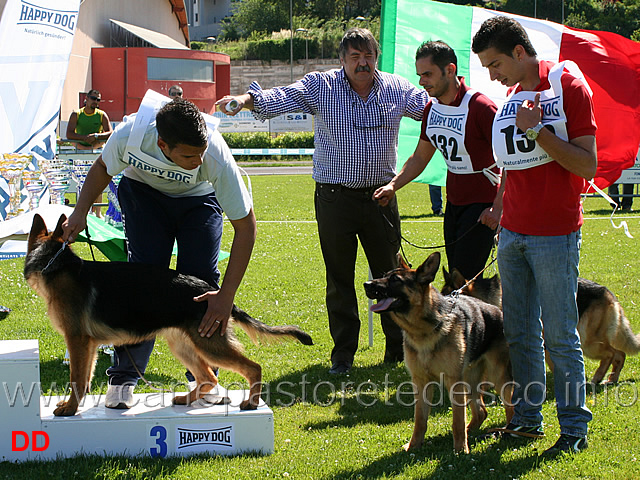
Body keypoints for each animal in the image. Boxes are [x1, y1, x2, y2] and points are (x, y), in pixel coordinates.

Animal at [23, 215, 314, 416]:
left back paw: (251, 403)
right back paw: (187, 399)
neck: (55, 263)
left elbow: (77, 379)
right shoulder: (89, 346)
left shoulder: (78, 341)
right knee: (209, 377)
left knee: (252, 368)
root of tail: (214, 293)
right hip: (183, 345)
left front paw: (70, 409)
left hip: (209, 345)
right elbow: (84, 379)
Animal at [362, 251, 512, 454]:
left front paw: (460, 450)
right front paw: (414, 445)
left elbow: (457, 420)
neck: (422, 331)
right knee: (481, 411)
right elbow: (420, 420)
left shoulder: (454, 383)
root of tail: (498, 311)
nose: (366, 284)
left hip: (498, 377)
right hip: (470, 380)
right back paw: (470, 432)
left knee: (510, 407)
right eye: (385, 275)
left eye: (395, 280)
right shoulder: (421, 383)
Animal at [442, 268, 640, 384]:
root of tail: (609, 294)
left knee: (612, 354)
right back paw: (611, 378)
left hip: (588, 343)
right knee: (619, 354)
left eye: (449, 300)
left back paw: (599, 377)